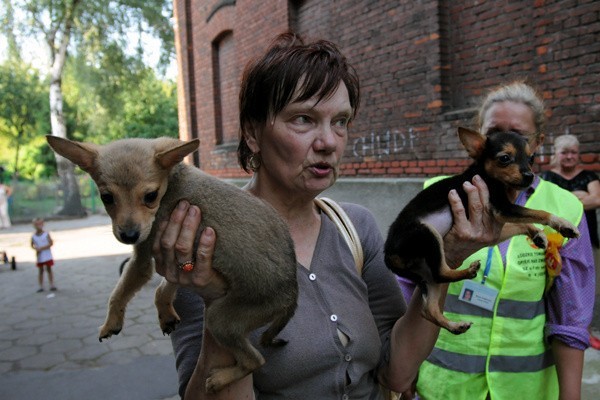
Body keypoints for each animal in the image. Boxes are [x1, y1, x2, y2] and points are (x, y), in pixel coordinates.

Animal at [47, 136, 300, 392]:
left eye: (150, 196)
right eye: (107, 197)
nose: (129, 235)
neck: (171, 183)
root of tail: (292, 294)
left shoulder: (142, 260)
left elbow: (117, 294)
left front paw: (111, 323)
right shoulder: (174, 257)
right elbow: (163, 289)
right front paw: (165, 313)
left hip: (219, 319)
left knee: (255, 361)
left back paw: (220, 379)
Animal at [386, 128, 580, 334]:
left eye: (532, 158)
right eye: (504, 158)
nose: (529, 175)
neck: (487, 175)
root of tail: (388, 255)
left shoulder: (499, 219)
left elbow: (520, 224)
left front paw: (537, 235)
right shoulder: (502, 208)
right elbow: (539, 212)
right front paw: (563, 224)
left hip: (425, 274)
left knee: (428, 308)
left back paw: (455, 326)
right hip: (427, 235)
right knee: (441, 274)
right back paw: (467, 272)